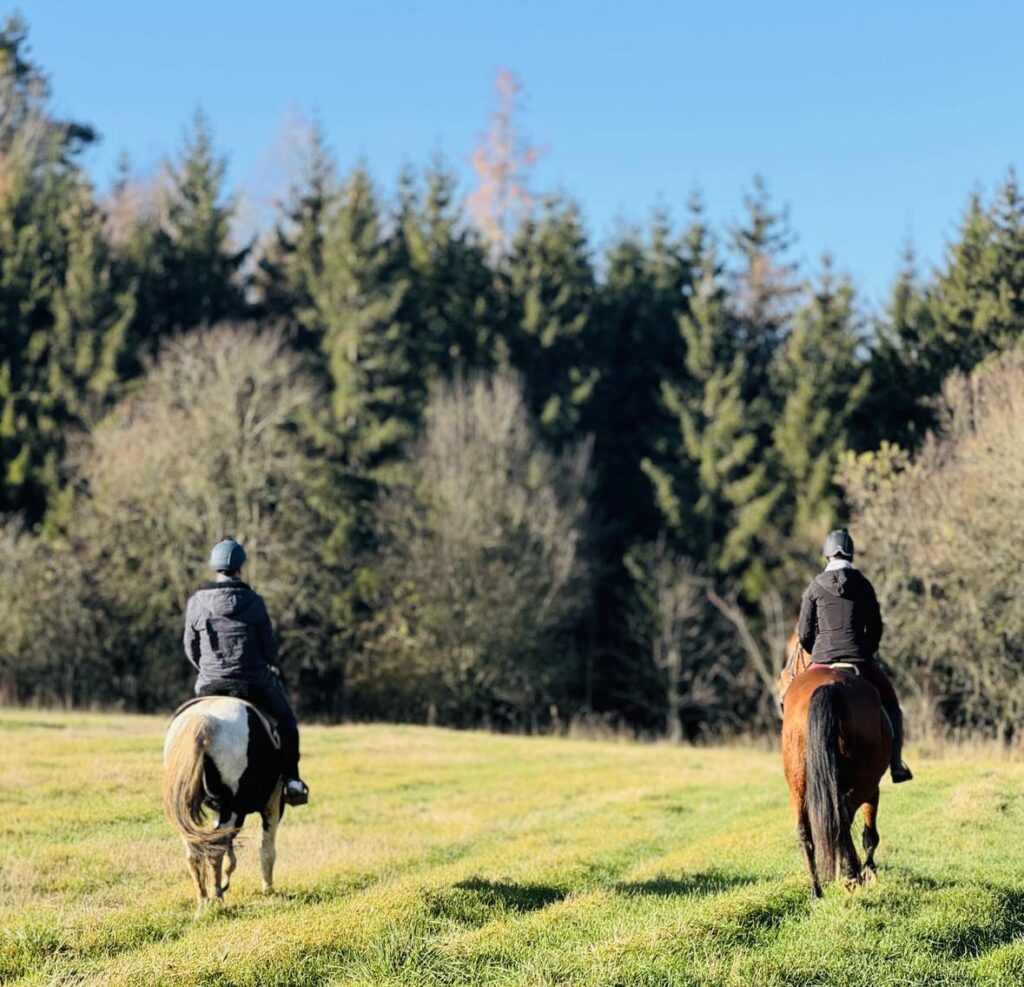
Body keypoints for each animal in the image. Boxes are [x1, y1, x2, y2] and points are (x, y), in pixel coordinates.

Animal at [162, 696, 284, 913]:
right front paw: (268, 889)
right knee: (215, 850)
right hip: (231, 808)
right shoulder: (273, 802)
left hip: (188, 814)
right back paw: (217, 895)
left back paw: (203, 899)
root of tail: (205, 720)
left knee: (194, 851)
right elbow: (267, 848)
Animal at [778, 630, 892, 892]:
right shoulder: (874, 788)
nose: (779, 686)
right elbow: (870, 834)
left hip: (797, 784)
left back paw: (817, 890)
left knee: (806, 831)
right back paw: (852, 873)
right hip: (865, 779)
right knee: (844, 816)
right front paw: (868, 872)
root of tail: (829, 686)